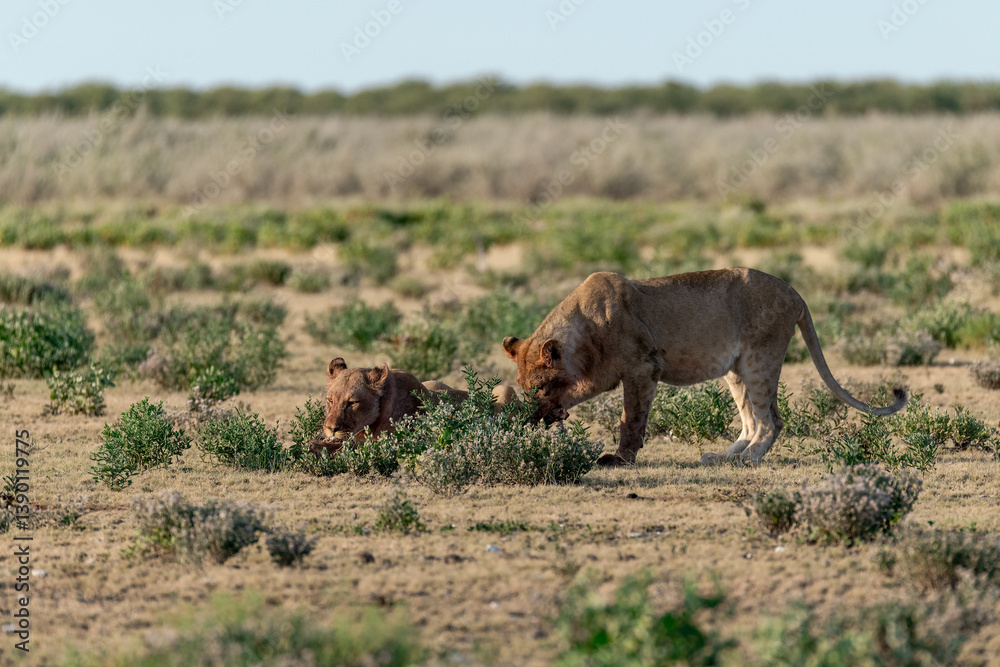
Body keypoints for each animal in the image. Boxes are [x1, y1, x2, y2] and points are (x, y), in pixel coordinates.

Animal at [312, 358, 518, 456]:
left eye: (352, 403)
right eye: (330, 400)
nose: (331, 428)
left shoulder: (396, 444)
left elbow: (353, 446)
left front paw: (318, 447)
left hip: (505, 389)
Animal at [502, 268, 907, 467]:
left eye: (540, 387)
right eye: (524, 387)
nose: (530, 418)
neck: (585, 332)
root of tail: (796, 293)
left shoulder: (643, 368)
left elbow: (631, 418)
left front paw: (620, 459)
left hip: (759, 359)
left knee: (772, 421)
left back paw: (749, 460)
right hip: (736, 370)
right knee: (751, 421)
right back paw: (726, 456)